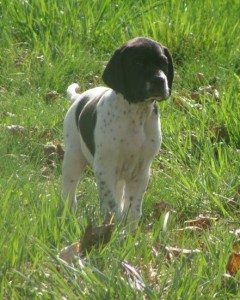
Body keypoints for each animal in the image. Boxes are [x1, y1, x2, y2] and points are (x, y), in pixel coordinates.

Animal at [62, 36, 173, 231]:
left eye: (163, 62)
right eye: (137, 63)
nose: (160, 80)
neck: (136, 112)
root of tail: (79, 98)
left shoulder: (141, 171)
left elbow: (133, 208)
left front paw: (129, 233)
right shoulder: (105, 168)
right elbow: (112, 206)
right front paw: (112, 229)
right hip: (73, 158)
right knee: (69, 192)